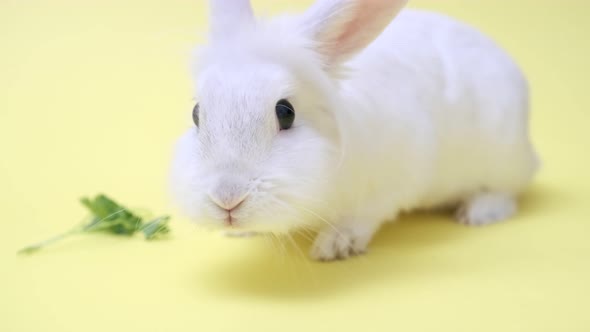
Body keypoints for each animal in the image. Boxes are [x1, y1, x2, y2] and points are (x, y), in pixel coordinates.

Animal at [170, 0, 540, 260]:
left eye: (285, 113)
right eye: (197, 113)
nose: (226, 199)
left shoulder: (396, 178)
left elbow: (364, 215)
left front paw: (336, 245)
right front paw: (244, 234)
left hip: (502, 156)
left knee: (510, 189)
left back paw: (478, 213)